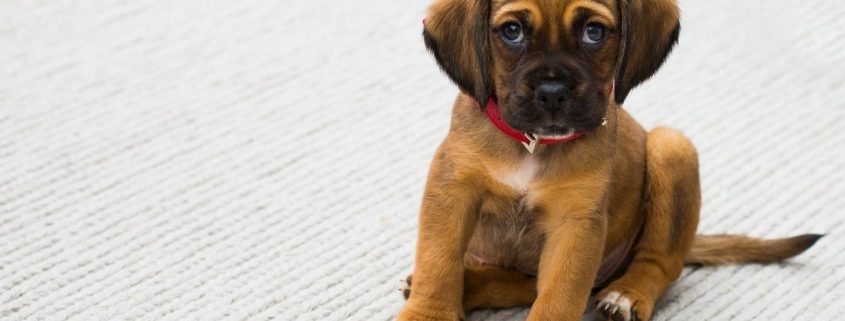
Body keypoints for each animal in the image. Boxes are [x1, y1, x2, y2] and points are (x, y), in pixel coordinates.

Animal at [398, 0, 824, 320]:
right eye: (512, 31)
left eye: (594, 32)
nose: (552, 93)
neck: (533, 145)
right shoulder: (452, 192)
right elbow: (439, 264)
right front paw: (428, 312)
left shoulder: (575, 224)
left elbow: (559, 298)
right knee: (518, 282)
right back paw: (464, 284)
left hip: (672, 148)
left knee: (660, 263)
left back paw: (628, 295)